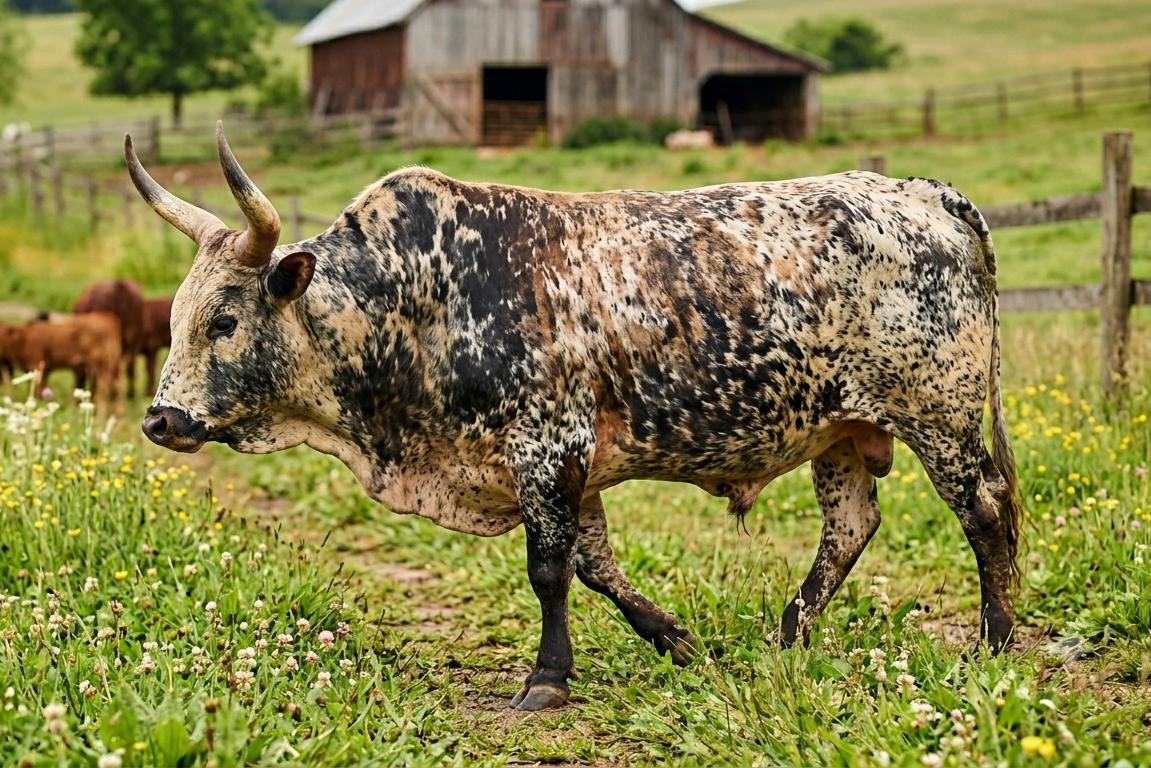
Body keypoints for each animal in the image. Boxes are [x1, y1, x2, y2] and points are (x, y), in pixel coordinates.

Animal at [130, 123, 1022, 711]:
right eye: (174, 317)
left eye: (223, 321)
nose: (161, 421)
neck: (416, 298)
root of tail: (923, 193)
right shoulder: (574, 466)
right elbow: (596, 567)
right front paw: (676, 641)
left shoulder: (546, 445)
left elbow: (549, 569)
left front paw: (546, 679)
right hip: (837, 429)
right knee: (849, 528)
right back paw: (788, 636)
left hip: (936, 414)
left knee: (982, 513)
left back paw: (994, 638)